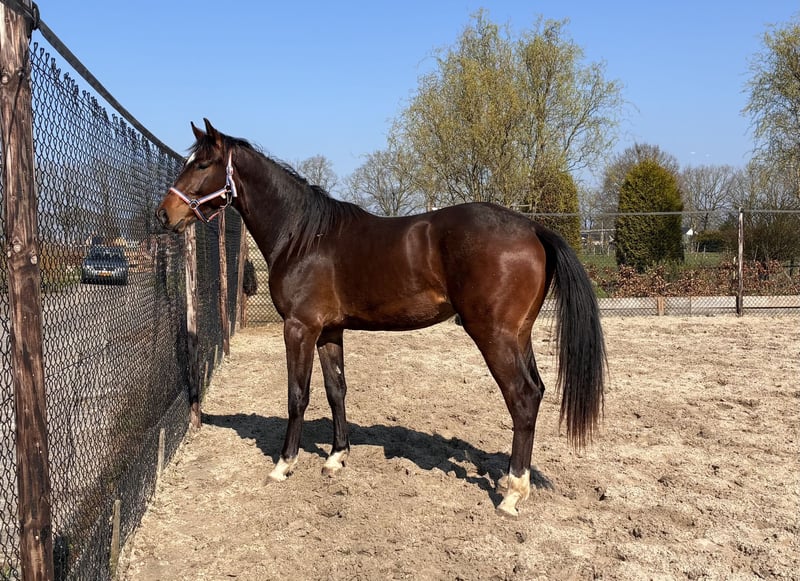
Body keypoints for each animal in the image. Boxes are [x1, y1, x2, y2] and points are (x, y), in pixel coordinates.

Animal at [156, 119, 606, 517]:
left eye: (201, 165)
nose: (164, 214)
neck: (303, 236)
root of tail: (532, 227)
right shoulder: (329, 331)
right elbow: (336, 390)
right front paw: (336, 457)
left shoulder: (300, 328)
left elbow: (297, 395)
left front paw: (284, 464)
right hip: (519, 334)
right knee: (536, 391)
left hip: (493, 335)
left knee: (522, 397)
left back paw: (512, 494)